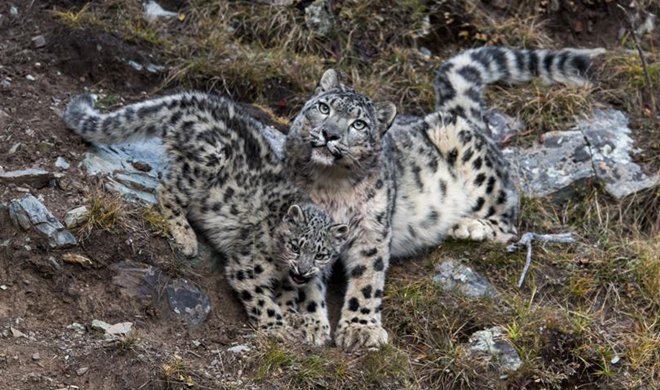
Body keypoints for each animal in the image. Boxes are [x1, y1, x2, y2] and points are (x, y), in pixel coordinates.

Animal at [62, 91, 350, 344]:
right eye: (295, 246)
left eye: (321, 254)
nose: (303, 270)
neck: (280, 267)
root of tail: (189, 98)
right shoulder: (246, 265)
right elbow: (262, 300)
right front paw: (278, 327)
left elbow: (288, 295)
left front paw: (294, 316)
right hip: (207, 159)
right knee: (166, 190)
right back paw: (186, 237)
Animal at [284, 45, 604, 350]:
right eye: (323, 107)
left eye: (359, 124)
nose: (330, 133)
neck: (332, 184)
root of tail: (464, 118)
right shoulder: (307, 228)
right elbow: (306, 280)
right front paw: (309, 325)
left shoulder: (371, 230)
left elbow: (367, 280)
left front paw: (361, 330)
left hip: (467, 155)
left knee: (509, 219)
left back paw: (469, 226)